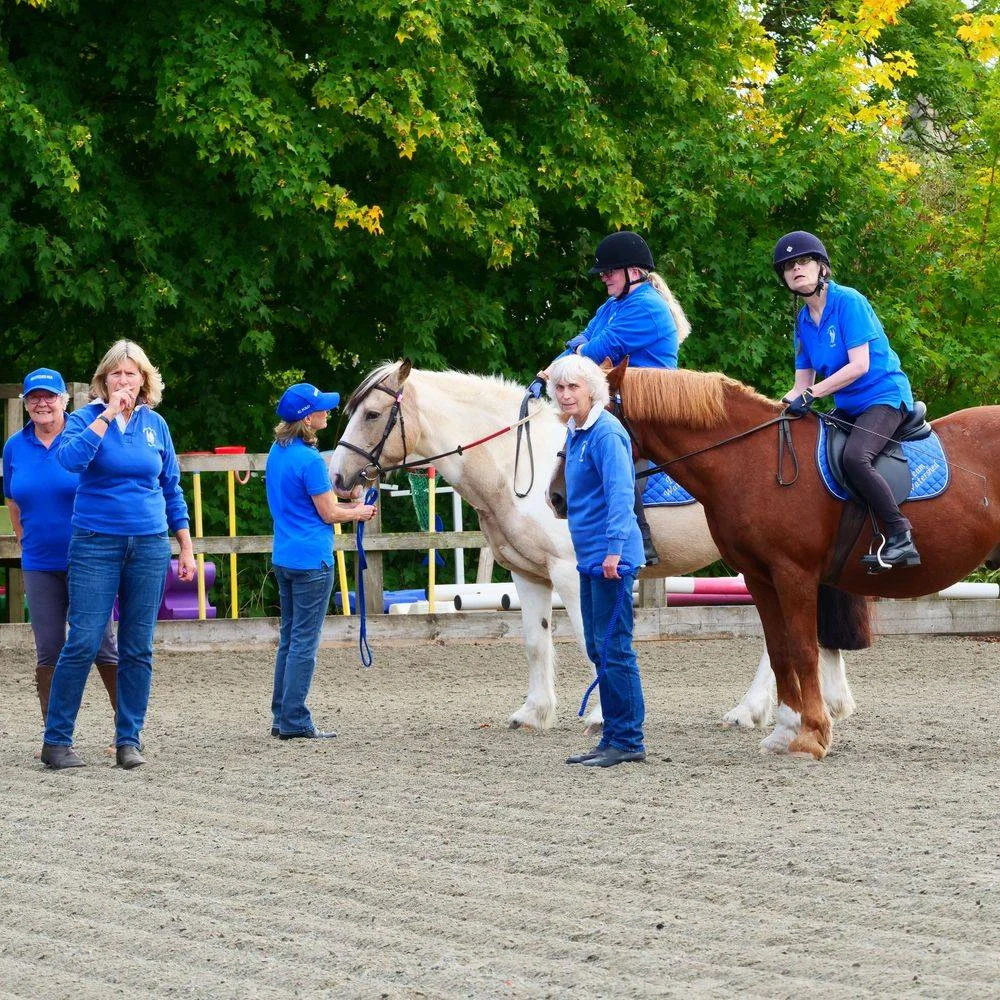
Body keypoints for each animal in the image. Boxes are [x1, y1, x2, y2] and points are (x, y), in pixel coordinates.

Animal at [326, 364, 852, 740]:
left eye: (372, 414)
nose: (337, 477)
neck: (517, 464)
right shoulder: (527, 575)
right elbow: (536, 642)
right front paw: (534, 712)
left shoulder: (574, 572)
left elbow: (590, 640)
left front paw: (601, 713)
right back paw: (827, 701)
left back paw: (756, 709)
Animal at [604, 364, 1000, 760]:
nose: (574, 491)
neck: (750, 459)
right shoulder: (760, 577)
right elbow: (780, 650)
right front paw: (785, 730)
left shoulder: (794, 573)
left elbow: (804, 649)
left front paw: (812, 733)